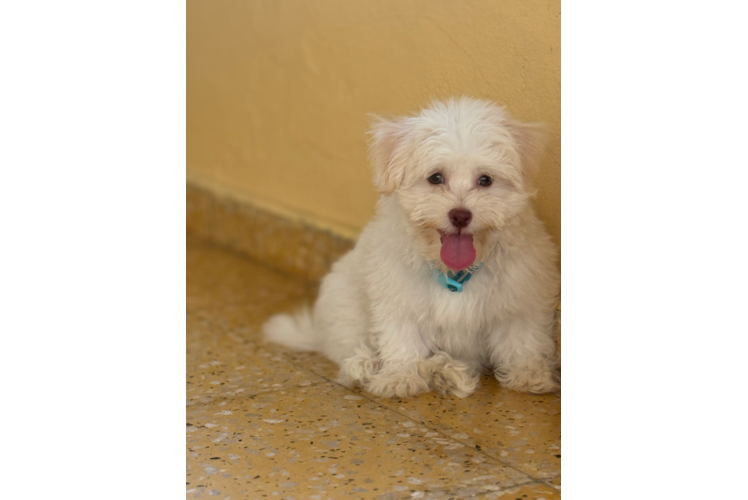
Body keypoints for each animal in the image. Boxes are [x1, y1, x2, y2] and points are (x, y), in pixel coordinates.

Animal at [266, 95, 560, 396]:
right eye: (436, 178)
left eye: (485, 180)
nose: (460, 215)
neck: (454, 272)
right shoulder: (399, 298)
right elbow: (402, 339)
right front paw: (399, 377)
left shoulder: (520, 298)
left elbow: (522, 338)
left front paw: (529, 375)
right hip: (345, 305)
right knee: (349, 345)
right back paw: (366, 366)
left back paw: (447, 371)